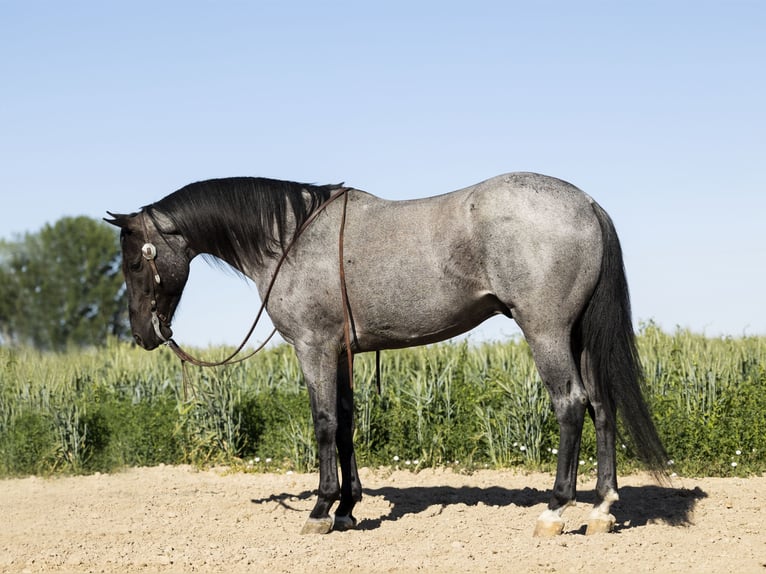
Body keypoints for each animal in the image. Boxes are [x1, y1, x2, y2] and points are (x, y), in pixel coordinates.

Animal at [106, 173, 664, 536]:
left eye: (134, 262)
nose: (142, 334)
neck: (290, 239)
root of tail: (586, 203)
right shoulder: (342, 352)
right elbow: (347, 423)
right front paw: (348, 509)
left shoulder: (313, 347)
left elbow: (324, 423)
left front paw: (320, 510)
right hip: (578, 335)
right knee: (602, 406)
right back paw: (601, 509)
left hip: (546, 332)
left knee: (570, 406)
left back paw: (555, 510)